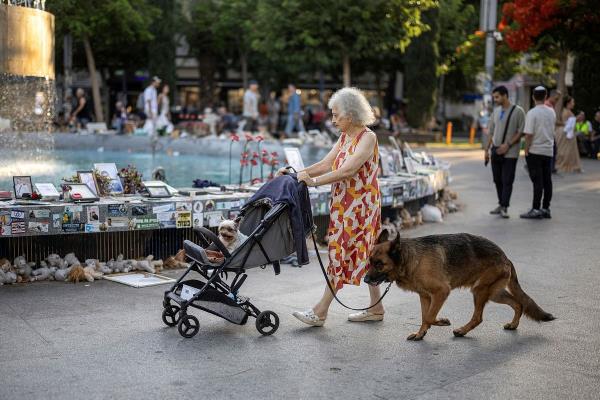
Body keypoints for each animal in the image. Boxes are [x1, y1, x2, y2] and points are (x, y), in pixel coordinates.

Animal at [364, 231, 556, 340]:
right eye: (370, 262)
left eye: (379, 264)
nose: (365, 280)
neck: (410, 257)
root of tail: (505, 257)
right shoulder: (425, 296)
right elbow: (424, 317)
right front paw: (420, 334)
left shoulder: (441, 292)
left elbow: (429, 317)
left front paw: (441, 322)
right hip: (493, 293)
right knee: (518, 304)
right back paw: (513, 324)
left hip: (479, 291)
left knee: (479, 318)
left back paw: (462, 331)